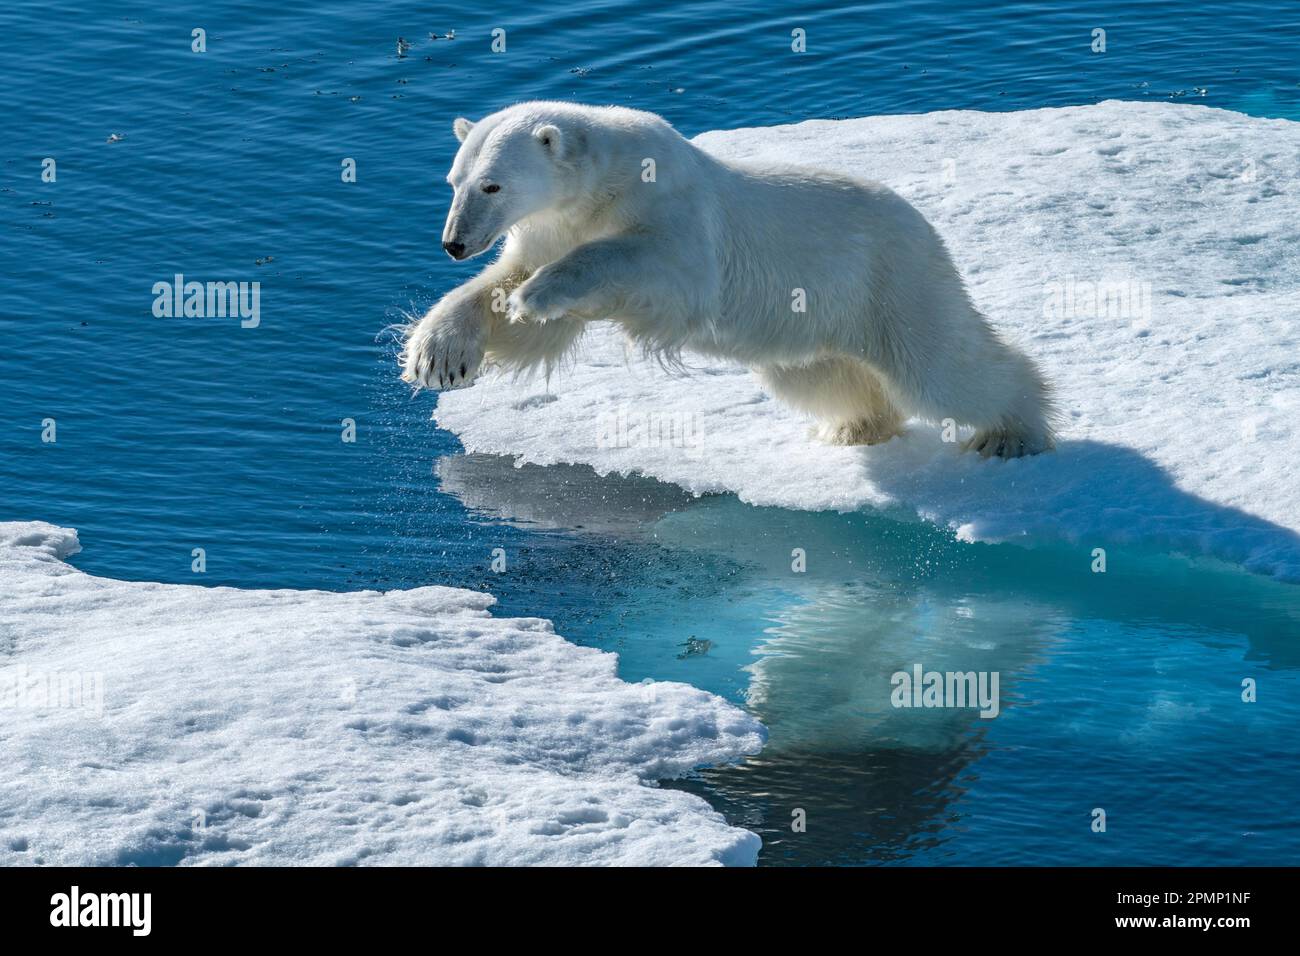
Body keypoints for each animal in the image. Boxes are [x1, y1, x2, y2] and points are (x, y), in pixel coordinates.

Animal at [400, 101, 1056, 458]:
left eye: (493, 185)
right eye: (453, 181)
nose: (454, 243)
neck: (604, 181)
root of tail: (926, 229)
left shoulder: (672, 208)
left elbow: (658, 269)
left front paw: (537, 293)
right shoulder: (548, 227)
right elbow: (511, 303)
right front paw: (440, 355)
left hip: (892, 280)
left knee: (944, 370)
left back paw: (1010, 433)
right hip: (816, 324)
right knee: (823, 376)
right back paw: (854, 426)